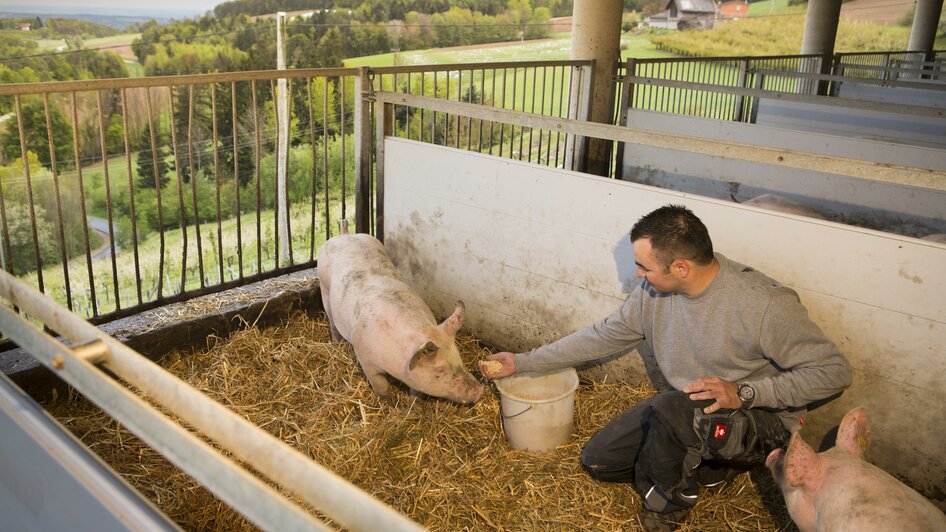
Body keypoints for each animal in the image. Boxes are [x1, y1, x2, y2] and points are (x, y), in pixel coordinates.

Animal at [318, 233, 484, 404]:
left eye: (459, 357)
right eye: (440, 371)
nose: (480, 390)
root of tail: (345, 235)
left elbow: (417, 391)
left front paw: (415, 403)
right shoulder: (365, 358)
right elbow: (380, 384)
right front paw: (385, 400)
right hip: (324, 287)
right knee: (332, 321)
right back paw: (336, 343)